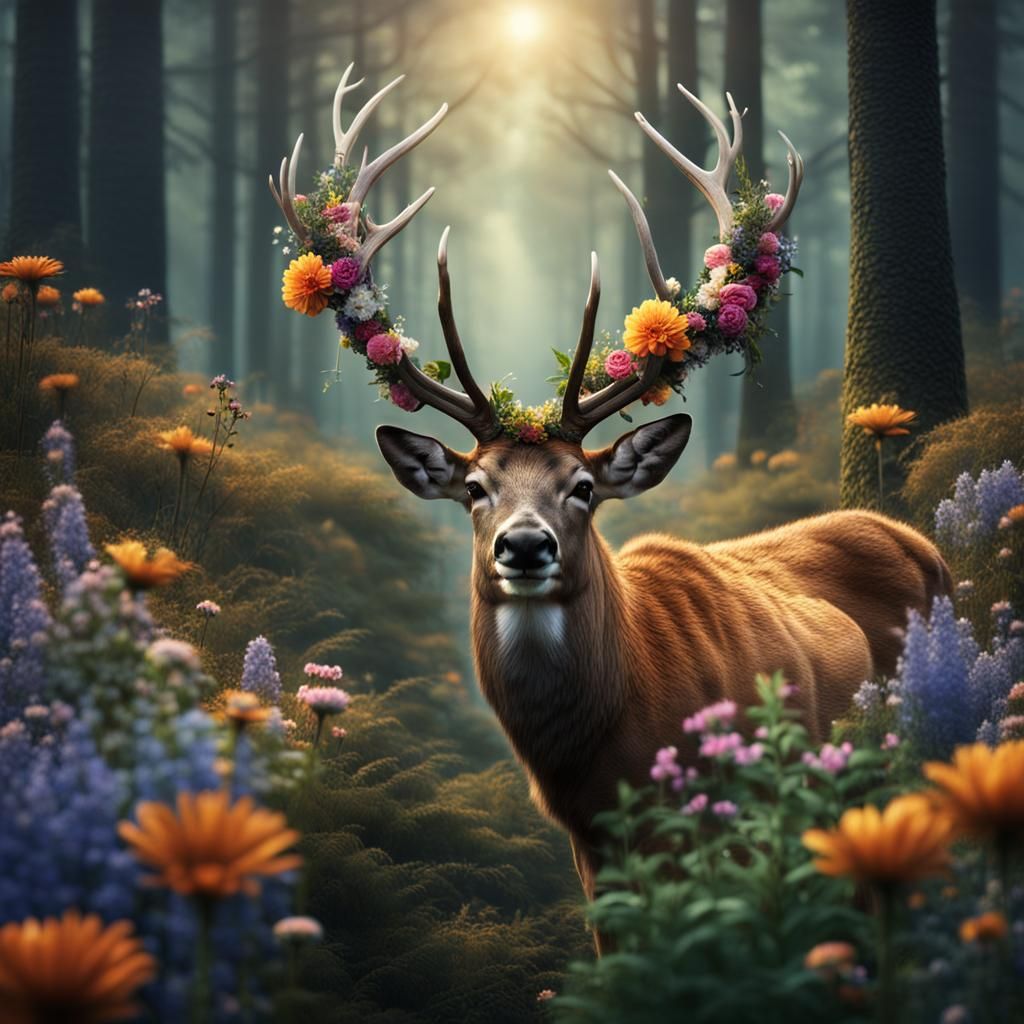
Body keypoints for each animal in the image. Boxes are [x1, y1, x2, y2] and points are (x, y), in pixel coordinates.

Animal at [271, 70, 952, 913]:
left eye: (584, 487)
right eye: (474, 487)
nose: (525, 545)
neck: (607, 749)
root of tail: (924, 544)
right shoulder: (590, 849)